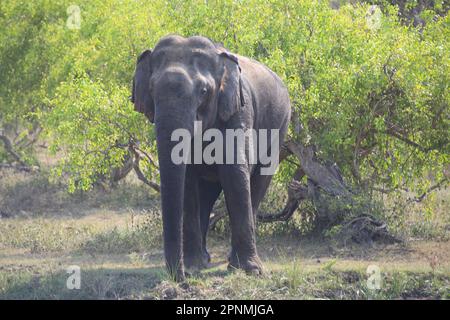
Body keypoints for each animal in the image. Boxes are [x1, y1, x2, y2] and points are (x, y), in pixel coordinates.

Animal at [132, 34, 290, 280]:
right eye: (151, 89)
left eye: (204, 91)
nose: (180, 280)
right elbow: (187, 182)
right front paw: (193, 267)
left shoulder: (238, 111)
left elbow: (234, 173)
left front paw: (251, 271)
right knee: (205, 195)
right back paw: (204, 260)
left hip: (281, 125)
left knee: (258, 183)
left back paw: (233, 261)